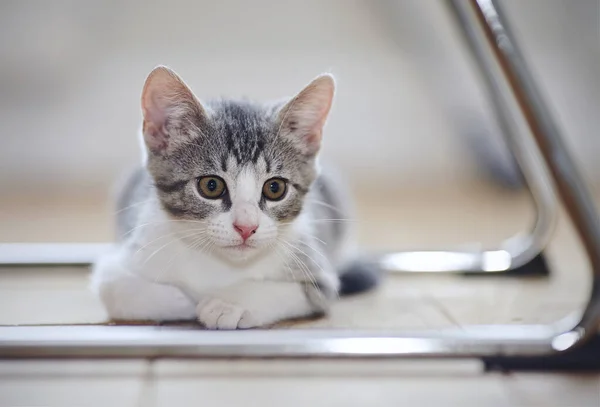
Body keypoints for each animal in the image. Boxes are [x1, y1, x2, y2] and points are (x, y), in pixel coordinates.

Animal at [91, 65, 378, 330]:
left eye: (275, 188)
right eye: (211, 186)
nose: (246, 227)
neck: (220, 264)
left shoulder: (319, 274)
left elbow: (291, 291)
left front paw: (229, 303)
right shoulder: (127, 252)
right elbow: (112, 286)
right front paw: (182, 301)